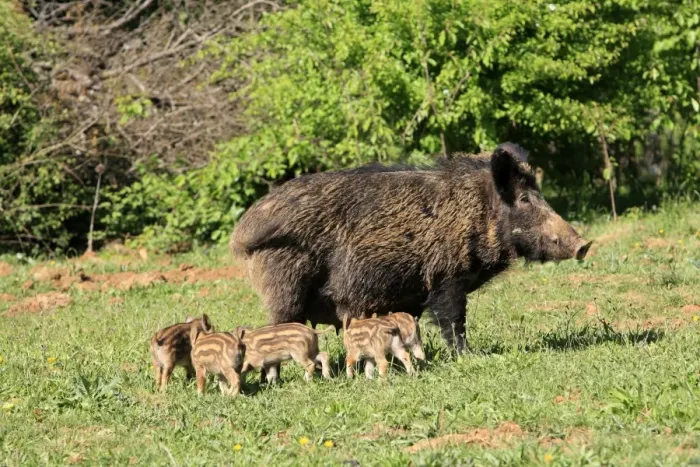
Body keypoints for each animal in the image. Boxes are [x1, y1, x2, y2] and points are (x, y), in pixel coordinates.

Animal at [231, 143, 591, 354]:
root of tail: (242, 232)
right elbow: (453, 320)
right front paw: (468, 356)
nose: (584, 244)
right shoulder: (446, 277)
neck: (477, 212)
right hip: (283, 287)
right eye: (525, 199)